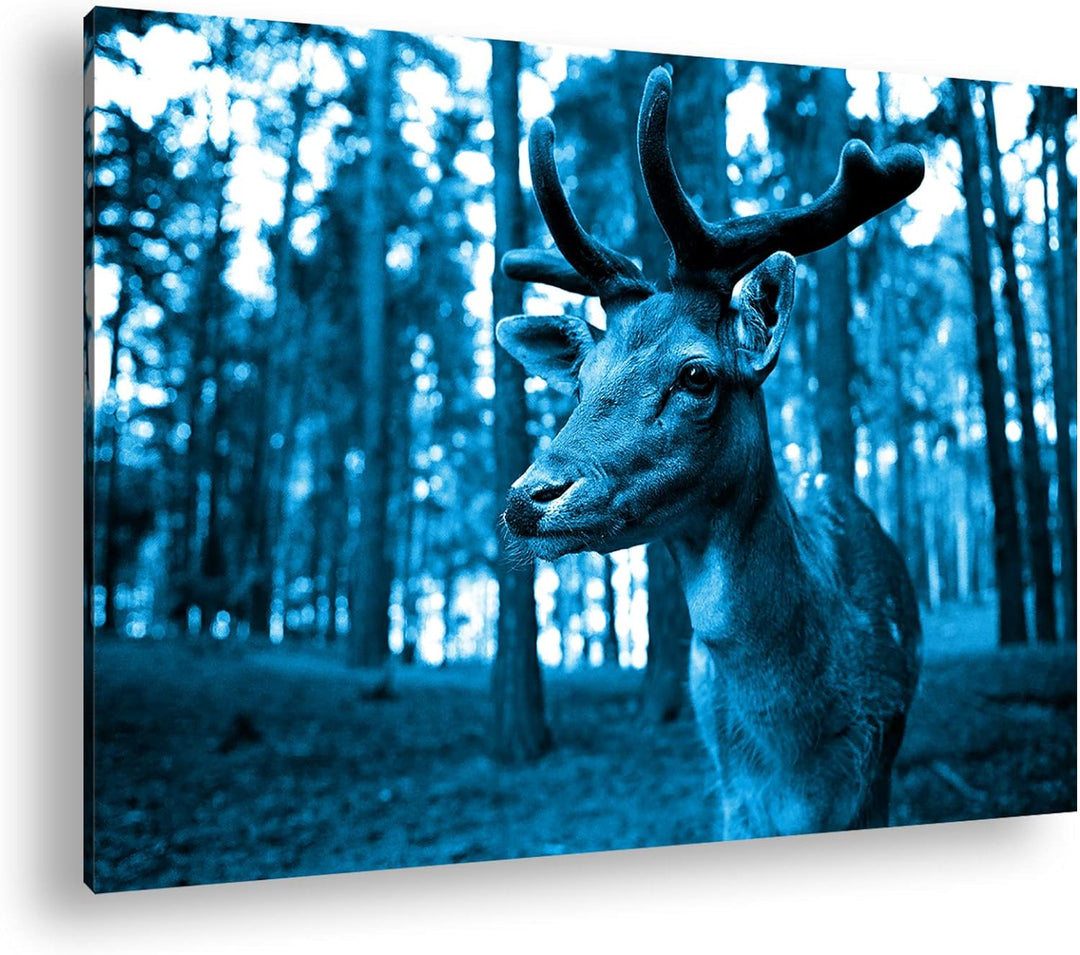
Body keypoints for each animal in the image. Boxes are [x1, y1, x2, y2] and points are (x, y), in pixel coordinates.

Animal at [495, 66, 925, 840]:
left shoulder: (876, 781)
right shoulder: (731, 799)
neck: (796, 774)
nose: (528, 497)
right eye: (581, 381)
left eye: (697, 374)